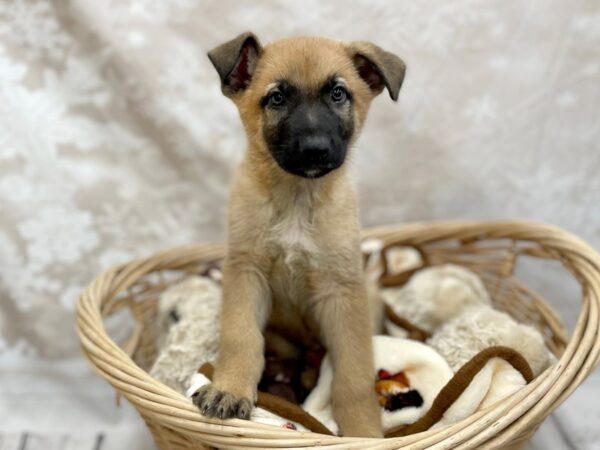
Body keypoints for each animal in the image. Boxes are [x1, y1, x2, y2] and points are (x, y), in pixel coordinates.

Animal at [192, 32, 406, 440]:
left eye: (338, 93)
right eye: (277, 98)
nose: (314, 150)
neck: (296, 198)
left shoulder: (342, 292)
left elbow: (354, 374)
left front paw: (364, 431)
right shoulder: (246, 272)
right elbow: (240, 336)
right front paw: (230, 388)